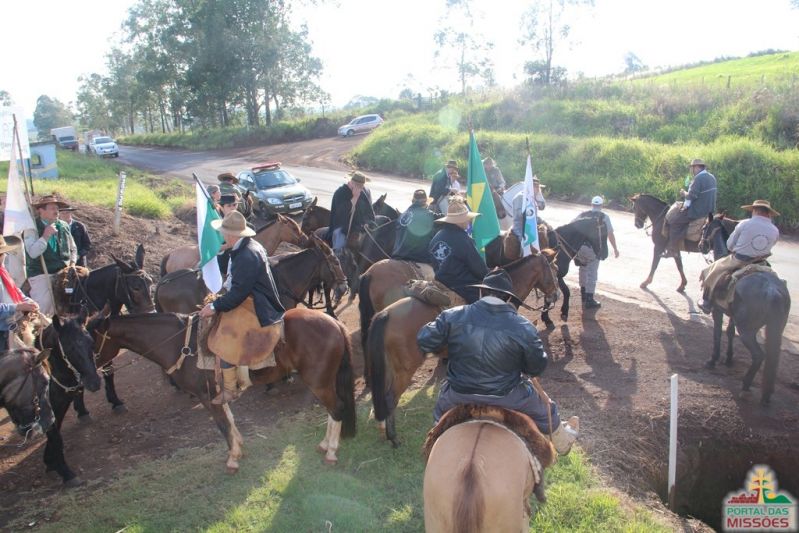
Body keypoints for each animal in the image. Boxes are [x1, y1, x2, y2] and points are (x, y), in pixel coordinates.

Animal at [39, 313, 103, 486]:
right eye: (69, 348)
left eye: (91, 343)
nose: (94, 382)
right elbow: (56, 438)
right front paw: (67, 474)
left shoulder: (61, 403)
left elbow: (56, 433)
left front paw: (50, 462)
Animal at [89, 307, 357, 471]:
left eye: (90, 340)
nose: (90, 376)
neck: (181, 345)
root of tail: (334, 323)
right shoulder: (218, 394)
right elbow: (230, 419)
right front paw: (239, 449)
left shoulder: (206, 397)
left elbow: (222, 425)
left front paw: (232, 458)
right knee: (333, 409)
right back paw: (325, 444)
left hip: (318, 382)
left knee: (336, 408)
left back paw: (331, 451)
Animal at [698, 218, 791, 405]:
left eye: (705, 227)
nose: (700, 245)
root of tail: (774, 291)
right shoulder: (733, 315)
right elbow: (729, 332)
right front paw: (728, 359)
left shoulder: (718, 310)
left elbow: (717, 333)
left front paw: (713, 360)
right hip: (776, 328)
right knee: (773, 356)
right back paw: (767, 393)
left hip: (747, 331)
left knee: (758, 356)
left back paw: (746, 387)